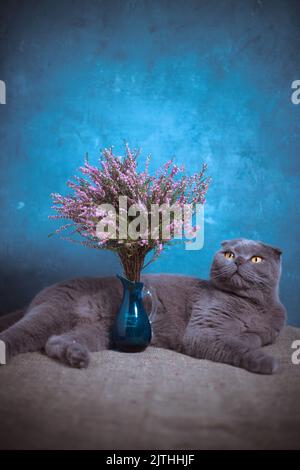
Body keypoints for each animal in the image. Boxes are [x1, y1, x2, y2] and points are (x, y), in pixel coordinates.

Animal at [0, 239, 286, 374]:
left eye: (256, 259)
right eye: (228, 254)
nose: (237, 260)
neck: (252, 305)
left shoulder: (269, 330)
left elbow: (255, 337)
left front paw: (249, 337)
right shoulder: (204, 330)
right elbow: (236, 346)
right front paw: (266, 362)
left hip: (99, 332)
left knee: (54, 341)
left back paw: (77, 357)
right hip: (52, 312)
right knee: (20, 334)